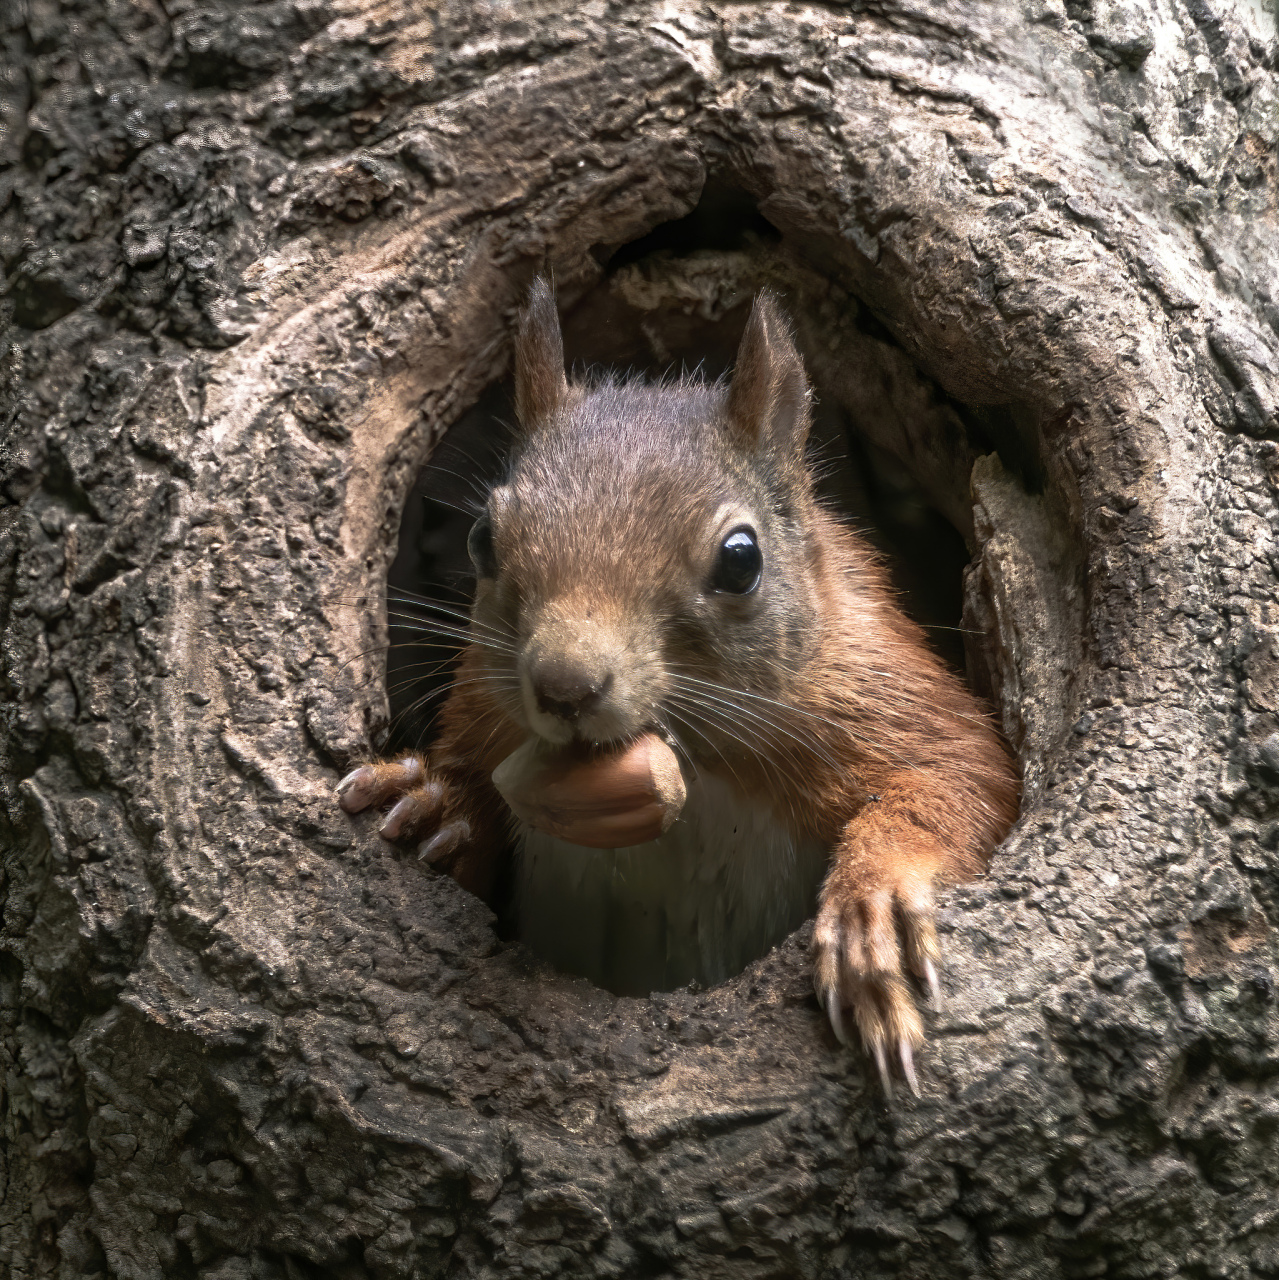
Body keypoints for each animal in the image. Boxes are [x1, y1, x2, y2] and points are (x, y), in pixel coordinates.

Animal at [340, 280, 1019, 1090]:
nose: (564, 686)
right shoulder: (484, 705)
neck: (696, 758)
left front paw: (873, 905)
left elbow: (963, 779)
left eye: (741, 559)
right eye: (483, 540)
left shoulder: (881, 689)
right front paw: (439, 804)